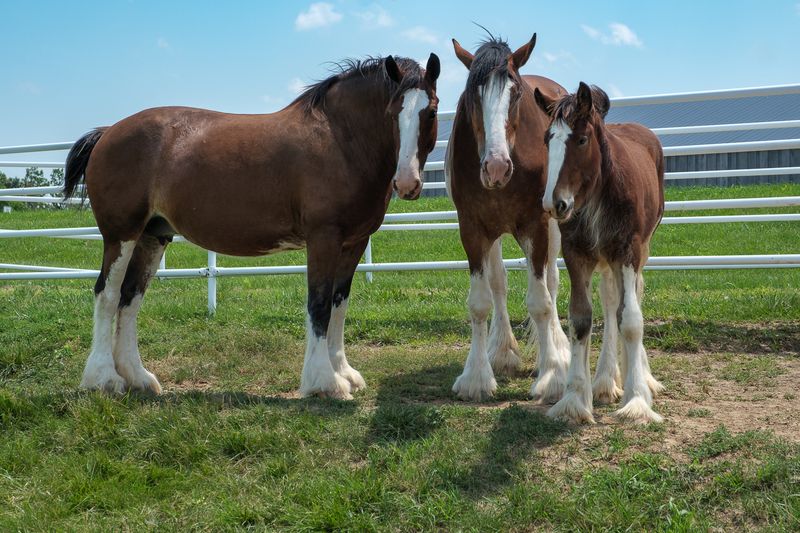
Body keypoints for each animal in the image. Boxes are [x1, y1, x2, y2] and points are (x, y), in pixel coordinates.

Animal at [62, 54, 441, 399]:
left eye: (431, 111)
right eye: (392, 112)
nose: (407, 183)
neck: (340, 140)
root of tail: (108, 133)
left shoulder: (354, 243)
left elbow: (338, 305)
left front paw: (344, 373)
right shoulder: (324, 238)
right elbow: (318, 304)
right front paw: (324, 382)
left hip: (152, 236)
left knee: (130, 298)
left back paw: (139, 377)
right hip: (121, 235)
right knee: (107, 295)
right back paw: (103, 379)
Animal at [446, 34, 571, 402]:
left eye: (515, 93)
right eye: (472, 95)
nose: (497, 167)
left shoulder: (537, 225)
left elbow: (541, 301)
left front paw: (551, 376)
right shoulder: (472, 229)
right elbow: (480, 301)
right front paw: (476, 377)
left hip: (555, 225)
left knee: (552, 282)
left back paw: (558, 347)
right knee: (499, 282)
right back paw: (502, 351)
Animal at [534, 82, 666, 424]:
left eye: (581, 139)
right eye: (547, 140)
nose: (555, 204)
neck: (599, 193)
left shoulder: (628, 250)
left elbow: (630, 319)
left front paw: (637, 400)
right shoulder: (576, 254)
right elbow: (582, 318)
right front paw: (575, 399)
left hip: (639, 249)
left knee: (632, 297)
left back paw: (640, 376)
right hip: (606, 259)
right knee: (609, 299)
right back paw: (606, 380)